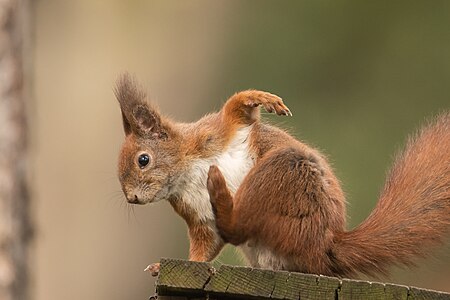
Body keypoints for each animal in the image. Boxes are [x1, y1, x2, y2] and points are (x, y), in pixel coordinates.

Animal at [113, 73, 450, 278]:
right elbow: (204, 248)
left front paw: (261, 99)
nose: (131, 198)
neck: (186, 174)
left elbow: (236, 110)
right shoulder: (198, 219)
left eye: (143, 160)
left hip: (281, 172)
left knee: (240, 226)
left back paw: (218, 187)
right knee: (237, 232)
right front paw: (162, 266)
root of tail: (325, 246)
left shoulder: (216, 132)